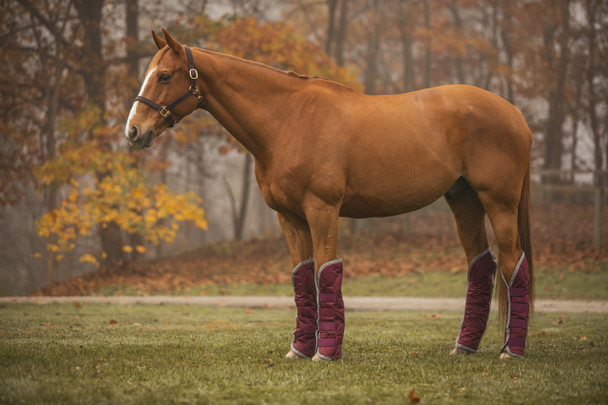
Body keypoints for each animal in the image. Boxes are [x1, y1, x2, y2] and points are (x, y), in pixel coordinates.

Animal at [126, 29, 536, 360]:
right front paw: (299, 350)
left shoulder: (322, 209)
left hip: (499, 203)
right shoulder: (289, 217)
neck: (287, 120)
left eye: (164, 75)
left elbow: (327, 272)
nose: (134, 131)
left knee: (513, 263)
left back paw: (510, 352)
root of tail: (516, 114)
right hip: (464, 201)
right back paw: (464, 347)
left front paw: (326, 354)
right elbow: (303, 277)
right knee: (481, 265)